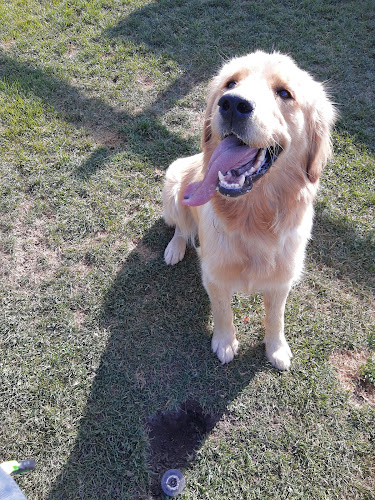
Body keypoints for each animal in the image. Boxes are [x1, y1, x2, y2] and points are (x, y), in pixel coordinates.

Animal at [163, 51, 336, 372]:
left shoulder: (281, 280)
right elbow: (223, 312)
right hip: (174, 180)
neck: (253, 217)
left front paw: (277, 349)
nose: (232, 104)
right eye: (231, 83)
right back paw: (174, 248)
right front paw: (225, 342)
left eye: (284, 93)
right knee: (181, 226)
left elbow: (275, 318)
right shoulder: (214, 275)